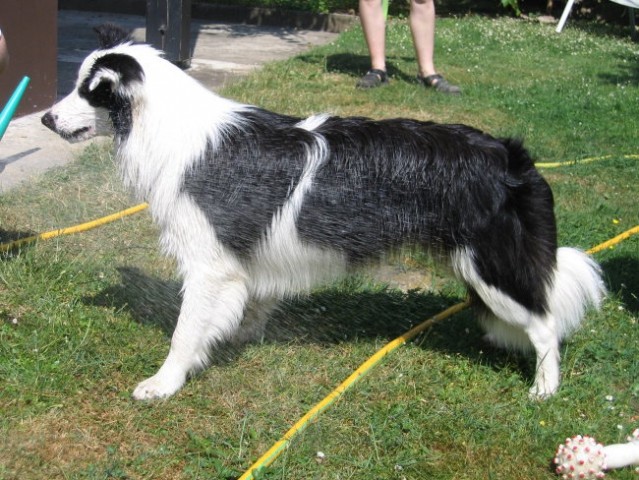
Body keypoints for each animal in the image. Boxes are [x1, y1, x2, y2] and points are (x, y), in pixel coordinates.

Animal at [41, 26, 604, 402]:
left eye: (90, 90)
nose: (45, 118)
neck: (165, 126)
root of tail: (510, 154)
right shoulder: (246, 262)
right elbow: (249, 306)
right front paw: (237, 337)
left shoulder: (208, 264)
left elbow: (184, 332)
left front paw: (164, 383)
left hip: (491, 267)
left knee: (546, 325)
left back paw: (544, 389)